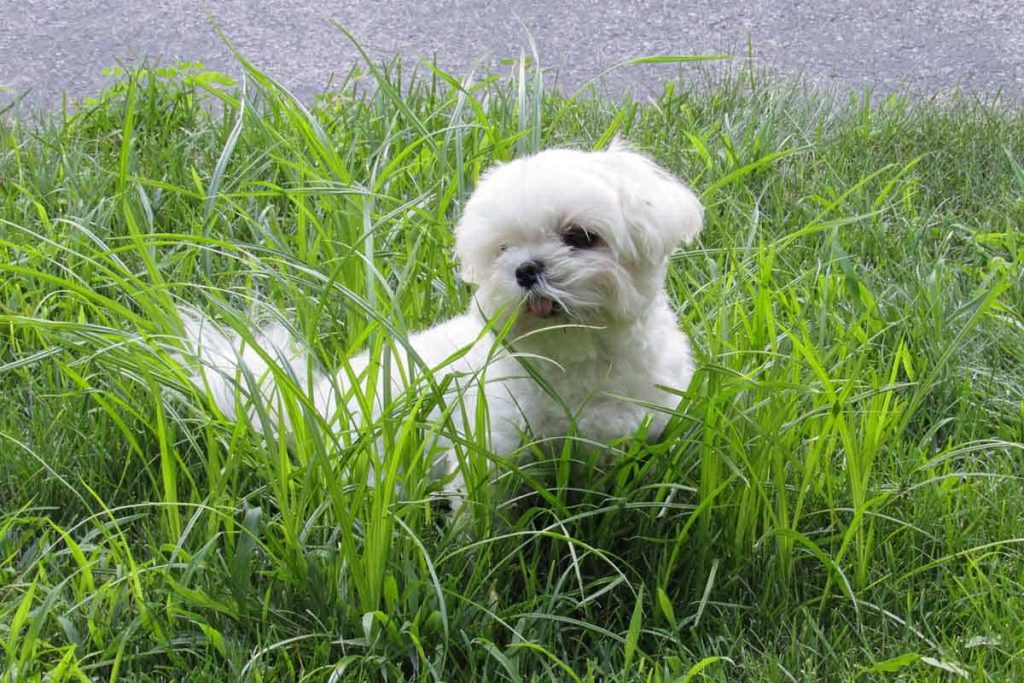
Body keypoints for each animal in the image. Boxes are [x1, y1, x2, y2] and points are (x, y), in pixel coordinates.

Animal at [180, 141, 704, 507]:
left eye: (580, 236)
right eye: (502, 250)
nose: (525, 270)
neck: (578, 359)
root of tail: (320, 406)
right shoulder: (490, 446)